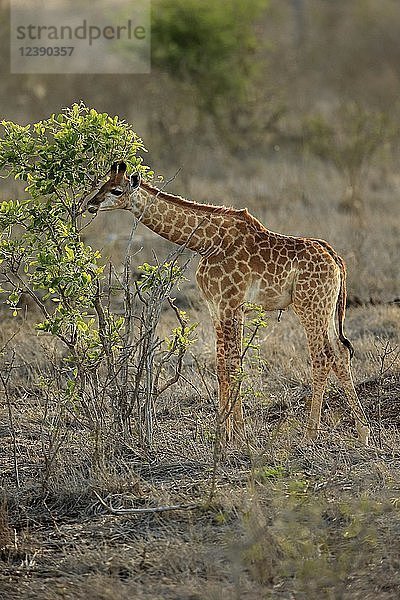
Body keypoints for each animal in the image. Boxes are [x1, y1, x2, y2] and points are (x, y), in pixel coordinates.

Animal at [86, 162, 370, 442]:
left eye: (116, 190)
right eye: (102, 184)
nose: (90, 204)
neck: (206, 241)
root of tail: (336, 259)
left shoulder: (229, 303)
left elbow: (231, 365)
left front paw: (234, 435)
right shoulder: (219, 306)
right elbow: (225, 364)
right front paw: (228, 433)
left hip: (309, 305)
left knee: (322, 356)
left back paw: (310, 434)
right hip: (327, 307)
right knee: (341, 353)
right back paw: (363, 432)